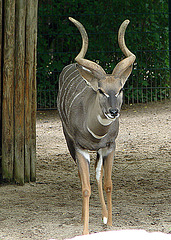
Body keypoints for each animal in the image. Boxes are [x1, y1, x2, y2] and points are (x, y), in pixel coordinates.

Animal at [57, 16, 136, 234]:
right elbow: (85, 188)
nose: (113, 111)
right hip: (68, 141)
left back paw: (103, 216)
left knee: (98, 175)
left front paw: (109, 222)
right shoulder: (80, 148)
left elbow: (107, 182)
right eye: (100, 90)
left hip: (99, 152)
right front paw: (84, 230)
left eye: (120, 89)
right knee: (81, 175)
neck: (96, 133)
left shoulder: (109, 147)